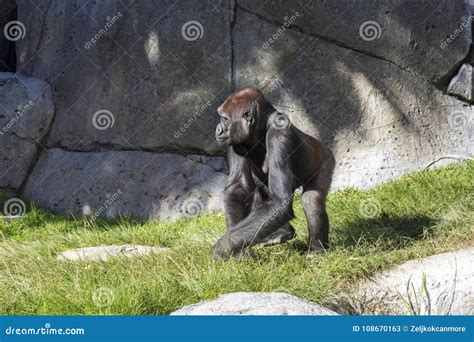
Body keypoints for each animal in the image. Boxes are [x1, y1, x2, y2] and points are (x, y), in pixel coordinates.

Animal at [213, 87, 336, 260]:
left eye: (224, 119)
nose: (218, 129)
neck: (261, 127)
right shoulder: (235, 141)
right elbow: (239, 187)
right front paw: (239, 252)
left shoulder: (279, 135)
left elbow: (280, 201)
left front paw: (222, 247)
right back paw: (283, 232)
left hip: (326, 158)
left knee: (311, 200)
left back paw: (317, 251)